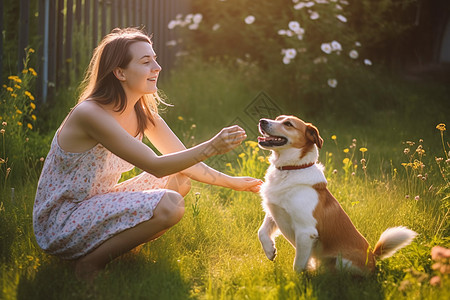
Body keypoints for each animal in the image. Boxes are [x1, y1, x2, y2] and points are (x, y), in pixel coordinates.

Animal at [256, 115, 418, 274]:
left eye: (288, 124)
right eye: (277, 118)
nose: (262, 121)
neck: (291, 168)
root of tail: (373, 257)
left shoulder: (306, 231)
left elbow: (298, 265)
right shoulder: (274, 211)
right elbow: (262, 232)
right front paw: (270, 251)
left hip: (342, 262)